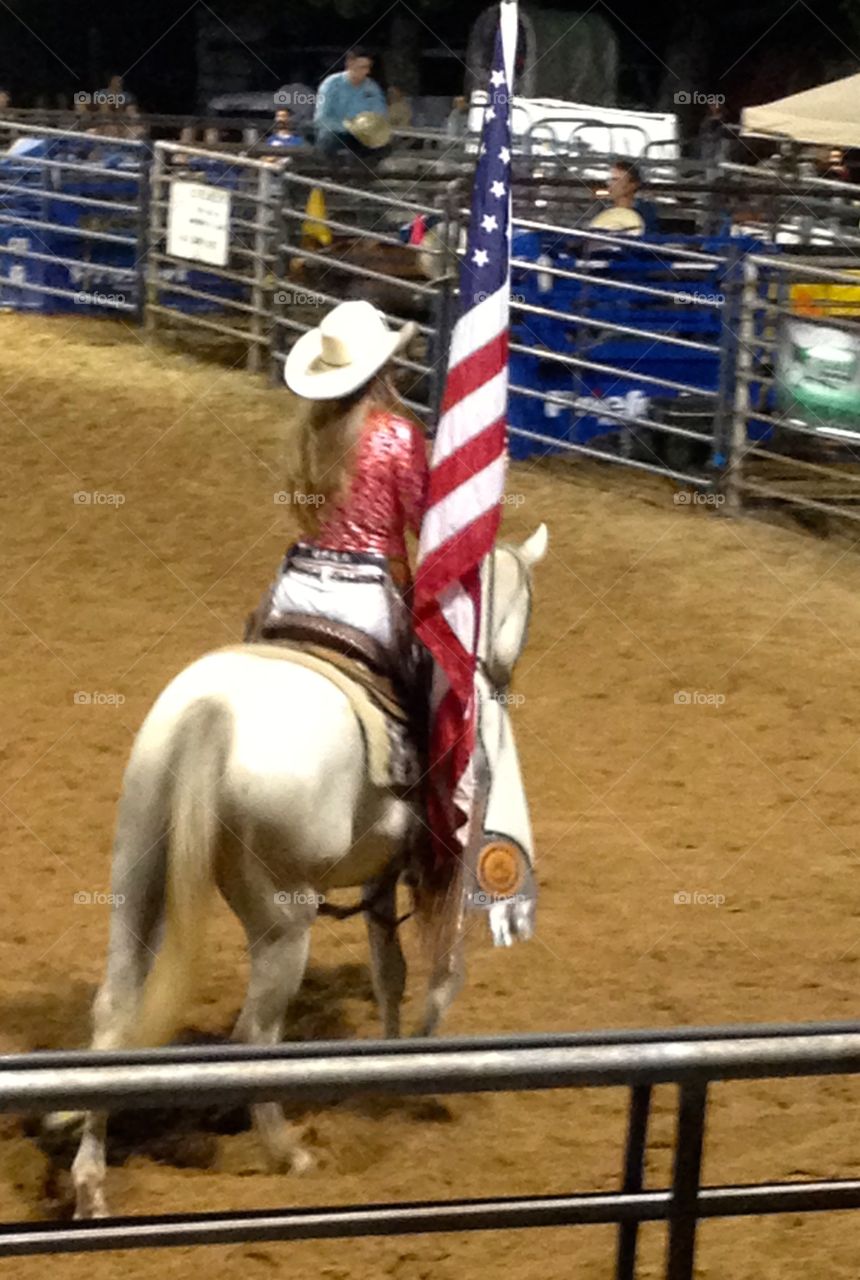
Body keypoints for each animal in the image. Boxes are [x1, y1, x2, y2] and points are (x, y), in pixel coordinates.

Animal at [68, 527, 550, 1218]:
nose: (504, 678)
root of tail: (211, 714)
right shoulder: (448, 870)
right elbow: (440, 977)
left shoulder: (380, 878)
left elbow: (388, 971)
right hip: (283, 919)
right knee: (256, 1031)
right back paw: (286, 1152)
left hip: (136, 880)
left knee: (114, 1010)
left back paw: (91, 1186)